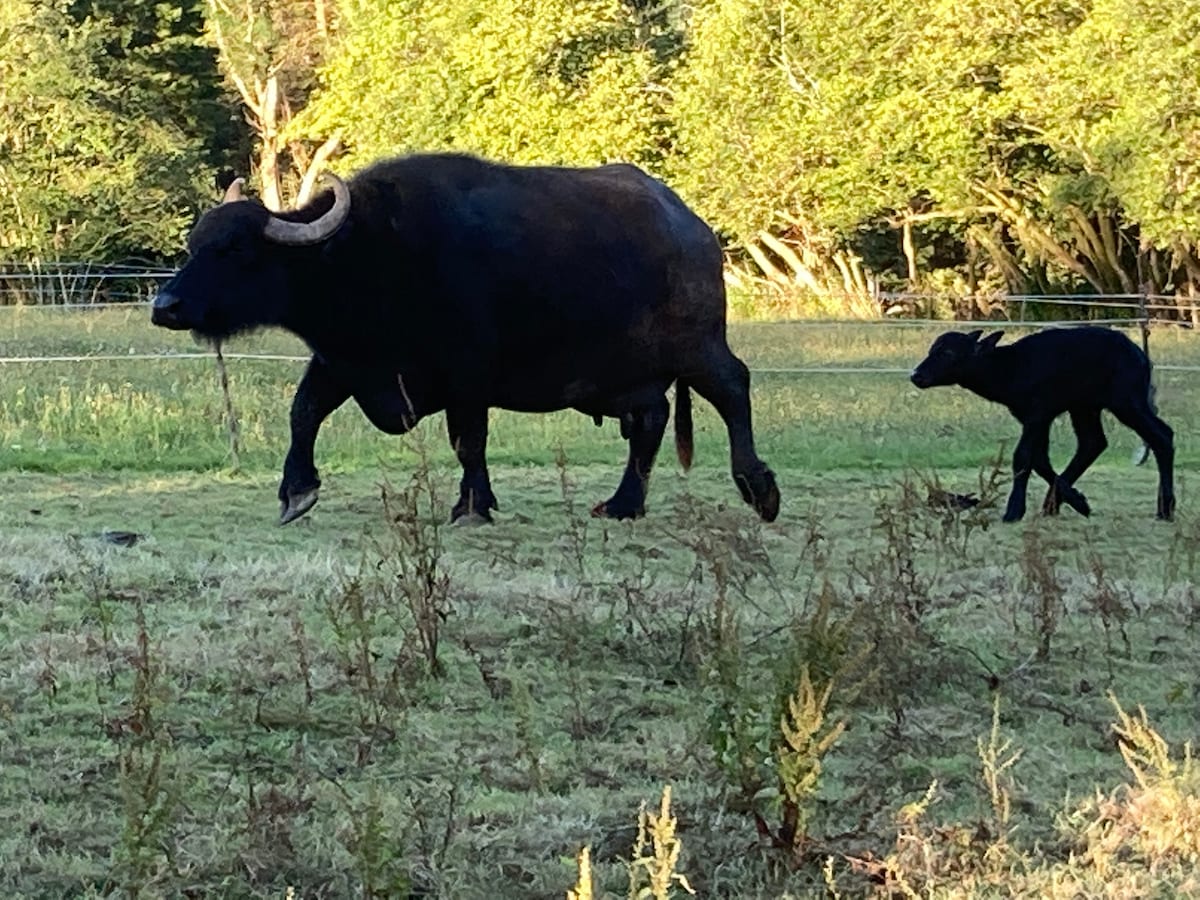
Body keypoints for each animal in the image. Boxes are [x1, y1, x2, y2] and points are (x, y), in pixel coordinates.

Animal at [150, 151, 782, 525]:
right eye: (195, 243)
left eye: (236, 249)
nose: (165, 306)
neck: (367, 258)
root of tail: (695, 230)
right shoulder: (344, 361)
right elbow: (303, 413)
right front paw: (295, 492)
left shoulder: (468, 373)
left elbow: (468, 440)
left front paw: (473, 504)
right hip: (635, 376)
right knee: (650, 422)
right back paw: (624, 504)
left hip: (698, 345)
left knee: (733, 388)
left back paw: (759, 490)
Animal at [907, 326, 1171, 520]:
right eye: (931, 350)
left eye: (948, 353)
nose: (916, 376)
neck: (1008, 371)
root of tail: (1143, 357)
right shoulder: (1034, 416)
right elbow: (1040, 460)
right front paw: (1079, 501)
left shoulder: (1038, 412)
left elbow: (1023, 457)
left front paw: (1014, 511)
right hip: (1085, 405)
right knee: (1093, 442)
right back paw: (1053, 506)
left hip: (1126, 399)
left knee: (1161, 435)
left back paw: (1165, 510)